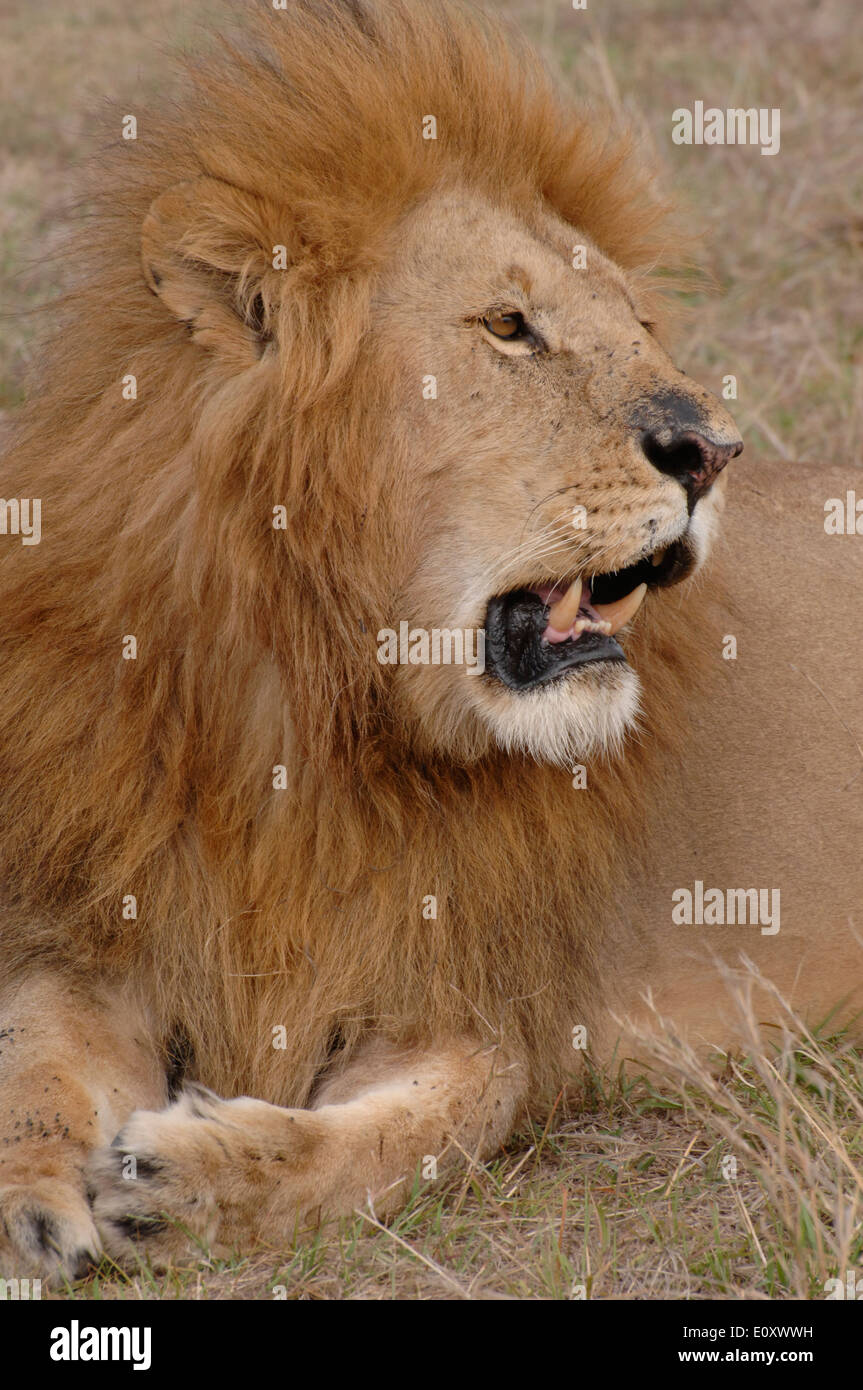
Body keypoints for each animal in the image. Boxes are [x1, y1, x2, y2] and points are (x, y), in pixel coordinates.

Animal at [1, 0, 861, 1284]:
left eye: (635, 324)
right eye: (509, 326)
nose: (714, 450)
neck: (309, 706)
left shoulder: (476, 994)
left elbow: (411, 1133)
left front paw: (197, 1183)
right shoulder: (117, 916)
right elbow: (36, 1050)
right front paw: (24, 1197)